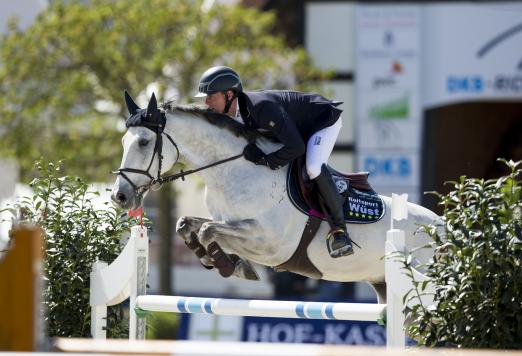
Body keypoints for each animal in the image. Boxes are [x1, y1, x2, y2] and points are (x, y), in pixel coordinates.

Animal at [111, 94, 436, 304]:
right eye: (123, 141)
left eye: (143, 142)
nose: (120, 196)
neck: (234, 169)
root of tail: (443, 228)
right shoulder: (230, 222)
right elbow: (187, 225)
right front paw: (220, 260)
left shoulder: (269, 243)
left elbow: (207, 230)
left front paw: (231, 265)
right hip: (385, 286)